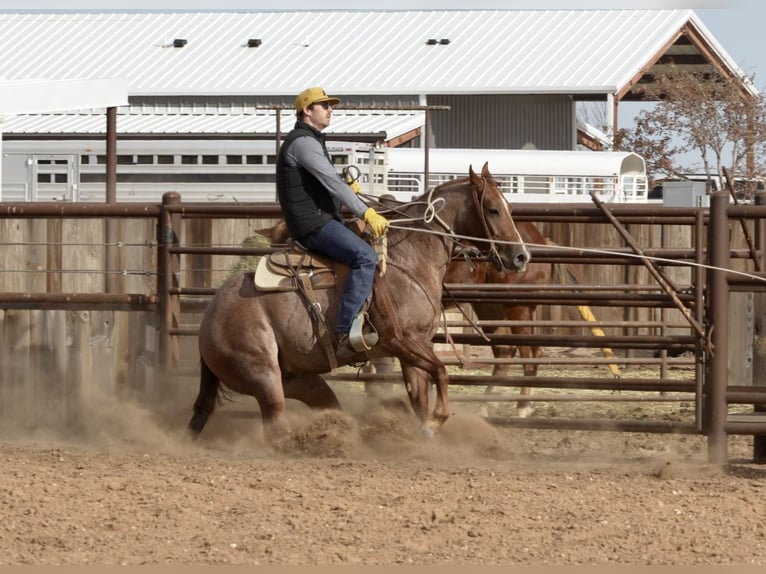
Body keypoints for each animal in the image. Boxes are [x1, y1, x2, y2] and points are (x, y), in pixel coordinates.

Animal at [189, 164, 532, 444]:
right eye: (492, 210)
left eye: (507, 206)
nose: (521, 256)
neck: (410, 258)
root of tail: (209, 317)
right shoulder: (400, 340)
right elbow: (442, 372)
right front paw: (434, 424)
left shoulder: (415, 347)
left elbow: (420, 396)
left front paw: (424, 435)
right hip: (264, 376)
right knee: (275, 427)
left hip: (299, 379)